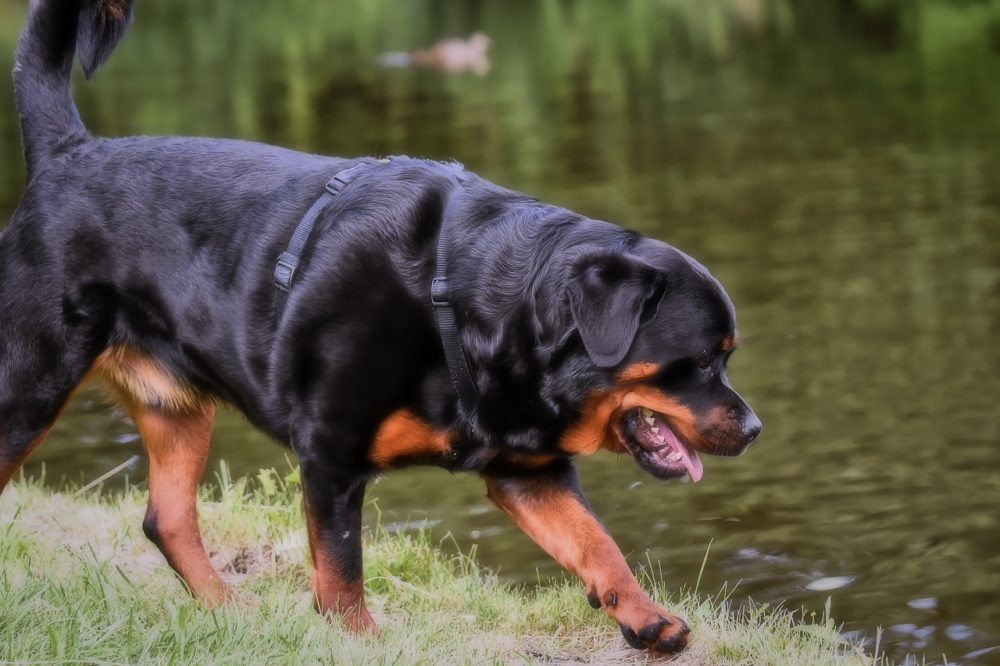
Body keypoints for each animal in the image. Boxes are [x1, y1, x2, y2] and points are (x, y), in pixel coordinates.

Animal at [0, 0, 760, 652]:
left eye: (727, 357)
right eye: (700, 360)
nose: (754, 428)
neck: (472, 305)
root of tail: (69, 151)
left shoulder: (529, 468)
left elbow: (596, 542)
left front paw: (645, 618)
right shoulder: (331, 451)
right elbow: (341, 567)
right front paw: (358, 640)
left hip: (175, 405)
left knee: (168, 518)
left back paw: (228, 611)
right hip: (29, 382)